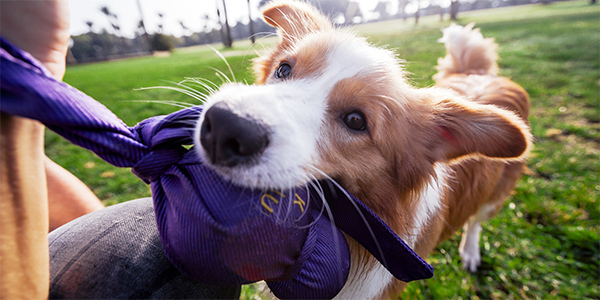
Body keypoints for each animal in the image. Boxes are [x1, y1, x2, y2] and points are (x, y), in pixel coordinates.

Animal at [195, 1, 532, 298]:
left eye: (356, 120)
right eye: (284, 69)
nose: (225, 125)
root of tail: (478, 74)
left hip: (496, 192)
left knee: (476, 220)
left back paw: (470, 251)